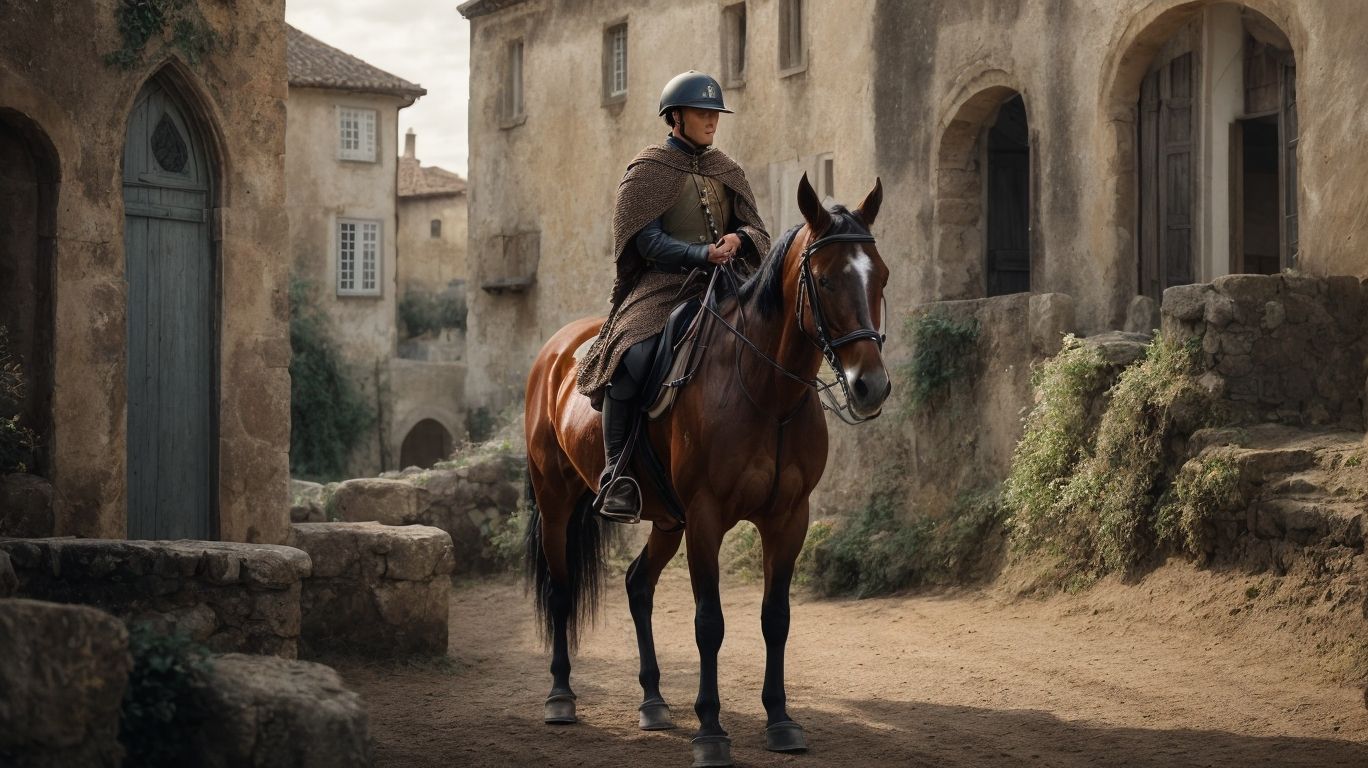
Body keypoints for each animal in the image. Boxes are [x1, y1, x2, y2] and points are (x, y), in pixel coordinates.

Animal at [523, 173, 890, 768]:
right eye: (826, 279)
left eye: (880, 275)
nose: (870, 386)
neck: (767, 394)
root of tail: (555, 352)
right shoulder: (706, 517)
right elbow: (709, 623)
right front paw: (712, 731)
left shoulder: (789, 519)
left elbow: (775, 618)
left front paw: (780, 721)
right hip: (557, 501)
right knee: (560, 590)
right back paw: (560, 696)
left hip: (665, 520)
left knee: (637, 585)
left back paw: (653, 702)